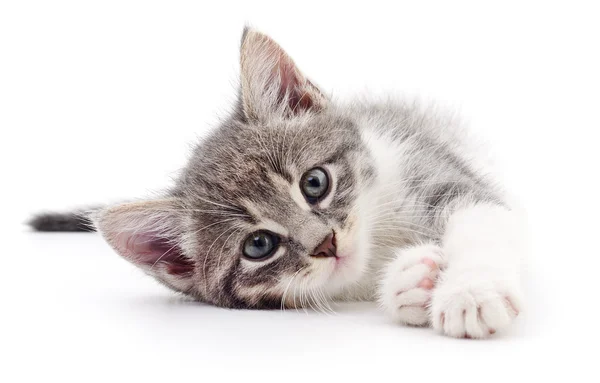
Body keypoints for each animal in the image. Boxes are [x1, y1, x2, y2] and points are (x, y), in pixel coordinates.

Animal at [30, 27, 524, 340]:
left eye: (314, 183)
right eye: (259, 246)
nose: (326, 243)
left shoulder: (433, 167)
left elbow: (482, 222)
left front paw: (471, 291)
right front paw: (409, 282)